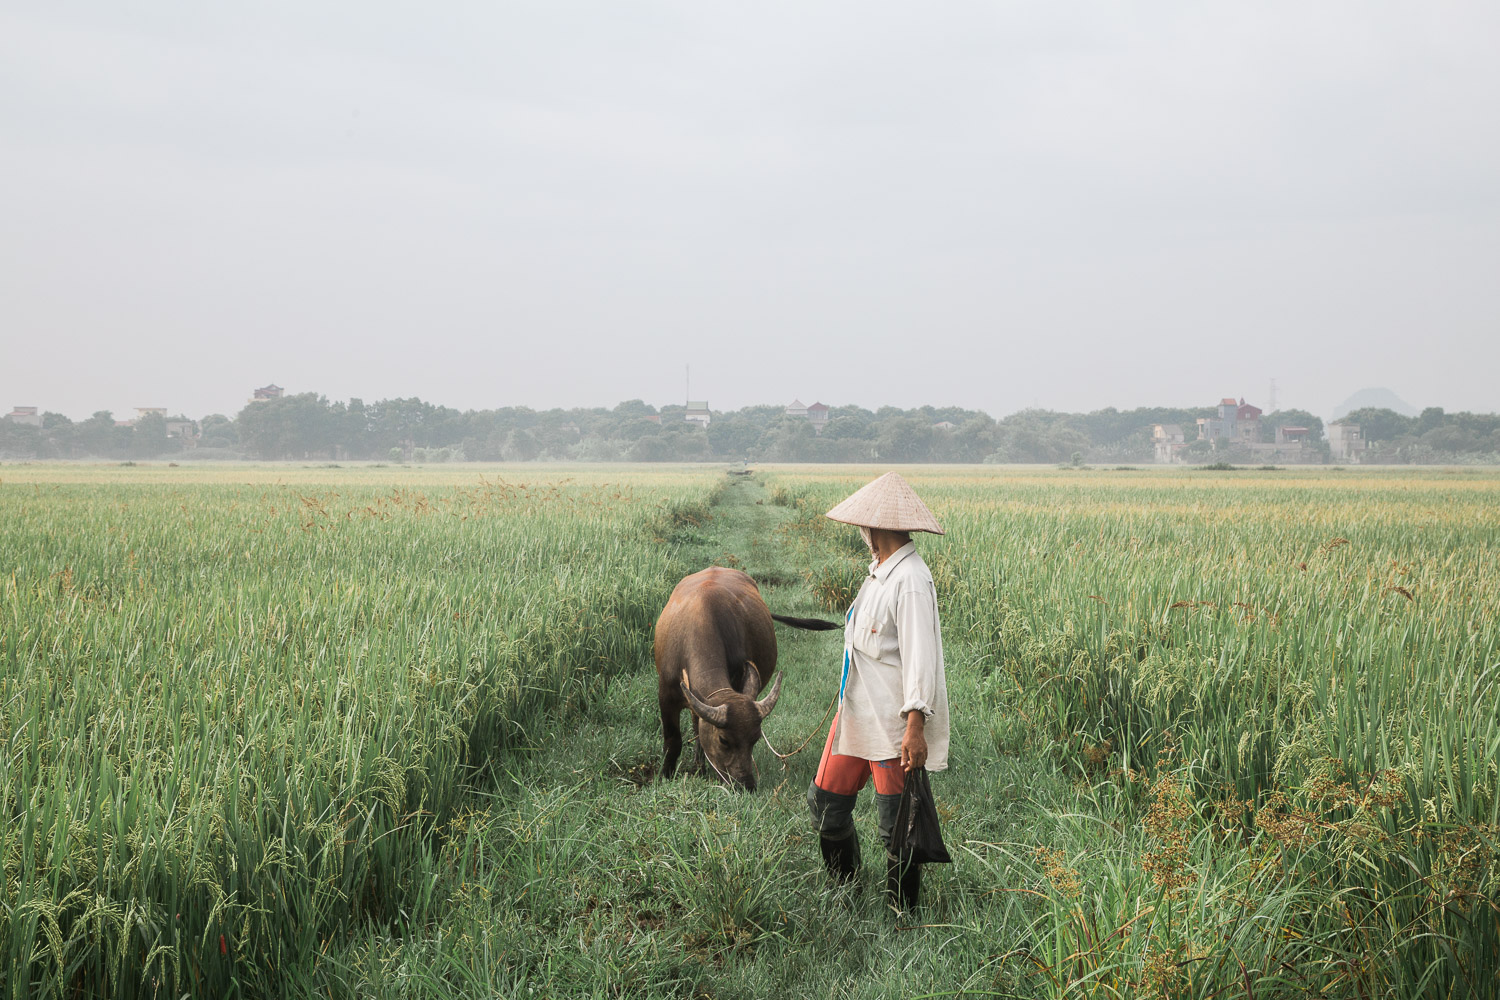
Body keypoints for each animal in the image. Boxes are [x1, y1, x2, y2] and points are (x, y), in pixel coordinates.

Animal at [654, 569, 840, 791]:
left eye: (755, 739)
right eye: (723, 740)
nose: (746, 785)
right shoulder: (666, 694)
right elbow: (673, 741)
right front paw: (664, 775)